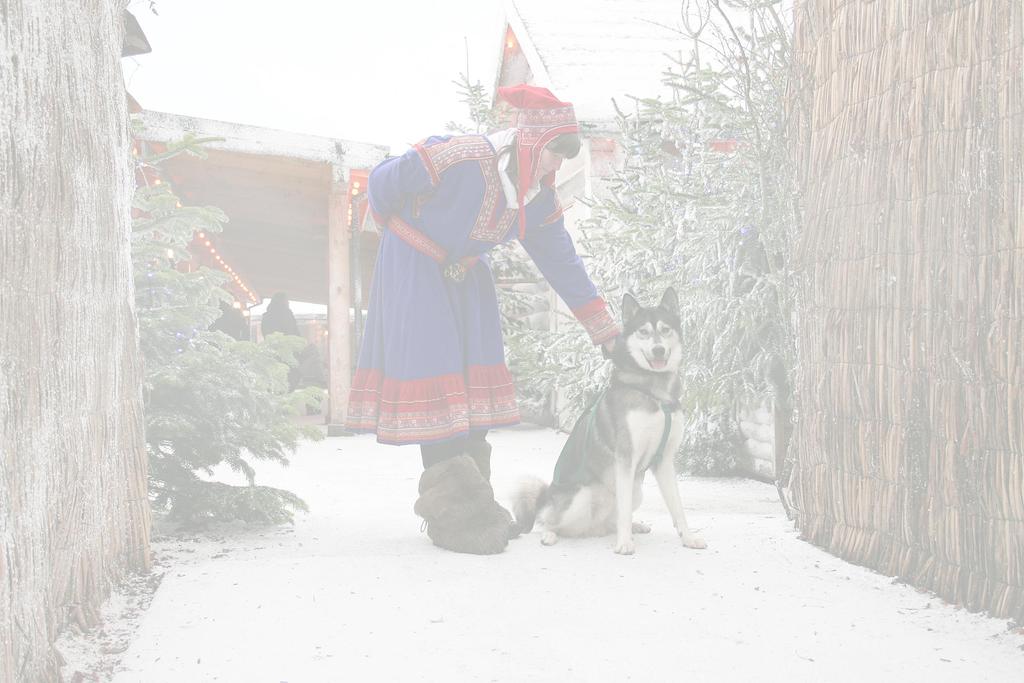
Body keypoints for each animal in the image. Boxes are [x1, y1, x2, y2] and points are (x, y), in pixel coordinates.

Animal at [516, 288, 708, 557]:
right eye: (643, 331)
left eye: (665, 329)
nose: (658, 350)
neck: (654, 393)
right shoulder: (625, 458)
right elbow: (624, 509)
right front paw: (624, 543)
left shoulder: (665, 460)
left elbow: (678, 508)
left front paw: (688, 538)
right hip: (581, 496)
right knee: (550, 521)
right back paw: (550, 534)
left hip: (636, 491)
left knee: (610, 520)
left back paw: (632, 526)